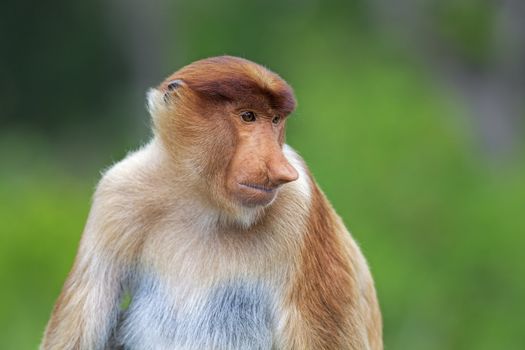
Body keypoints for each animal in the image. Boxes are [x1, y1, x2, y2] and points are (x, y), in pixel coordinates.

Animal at [41, 56, 380, 348]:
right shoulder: (118, 194)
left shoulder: (300, 204)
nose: (280, 170)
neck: (204, 204)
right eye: (248, 116)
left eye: (275, 120)